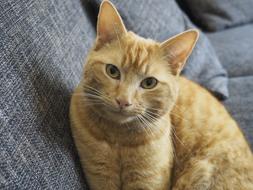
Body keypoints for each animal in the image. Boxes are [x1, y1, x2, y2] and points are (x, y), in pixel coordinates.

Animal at [69, 0, 253, 189]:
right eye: (112, 71)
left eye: (149, 83)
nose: (123, 101)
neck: (120, 139)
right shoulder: (100, 176)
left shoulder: (149, 182)